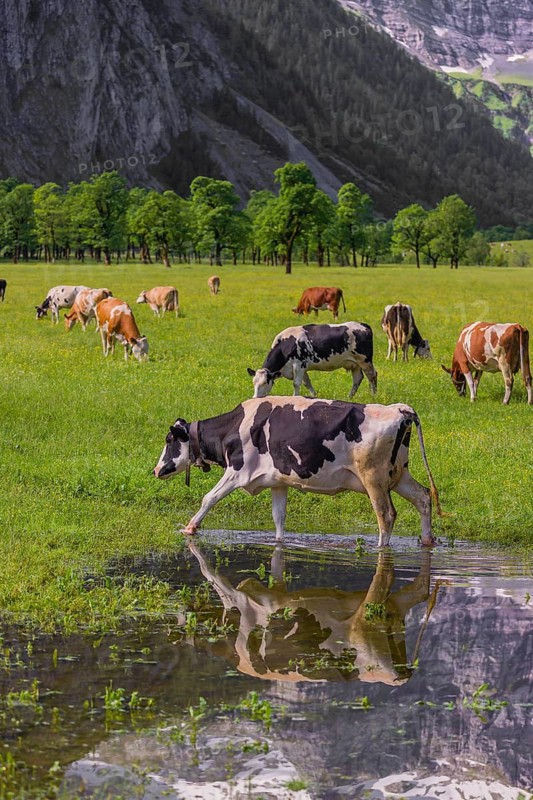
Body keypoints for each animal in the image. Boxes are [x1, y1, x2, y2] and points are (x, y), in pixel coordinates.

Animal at [153, 396, 442, 548]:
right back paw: (427, 540)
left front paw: (190, 528)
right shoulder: (278, 482)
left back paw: (381, 548)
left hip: (374, 480)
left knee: (386, 515)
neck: (234, 427)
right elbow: (279, 517)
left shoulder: (237, 472)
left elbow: (209, 498)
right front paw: (280, 542)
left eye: (169, 440)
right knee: (423, 497)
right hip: (399, 476)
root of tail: (400, 409)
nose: (156, 469)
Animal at [247, 322, 378, 398]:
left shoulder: (298, 365)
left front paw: (295, 398)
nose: (254, 398)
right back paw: (349, 397)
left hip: (365, 360)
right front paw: (314, 396)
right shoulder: (302, 369)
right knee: (357, 379)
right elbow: (307, 383)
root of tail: (363, 325)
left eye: (265, 383)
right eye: (253, 382)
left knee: (372, 376)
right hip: (355, 363)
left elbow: (296, 383)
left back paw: (373, 396)